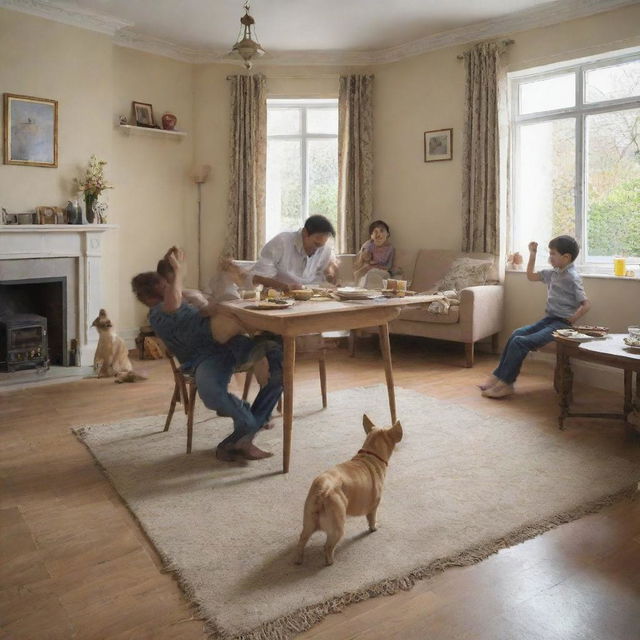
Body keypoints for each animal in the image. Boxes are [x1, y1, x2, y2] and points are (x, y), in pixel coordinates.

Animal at [294, 416, 402, 564]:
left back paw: (299, 560)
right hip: (338, 528)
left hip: (308, 522)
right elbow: (372, 519)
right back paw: (330, 562)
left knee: (301, 541)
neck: (371, 454)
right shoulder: (374, 506)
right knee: (327, 547)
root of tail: (323, 491)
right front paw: (373, 528)